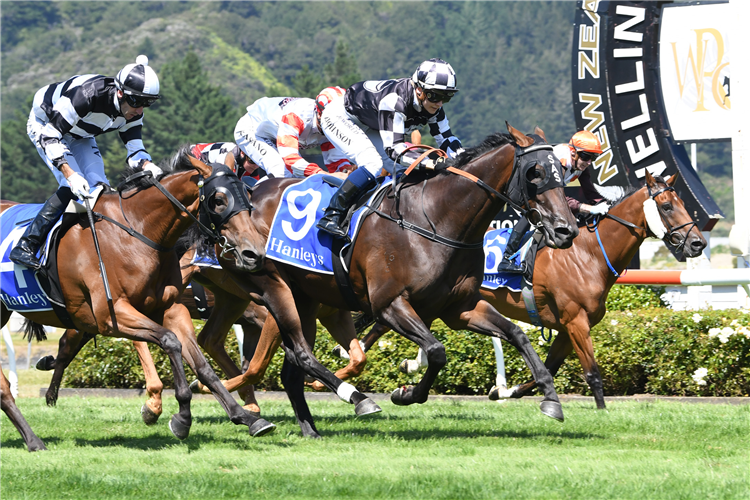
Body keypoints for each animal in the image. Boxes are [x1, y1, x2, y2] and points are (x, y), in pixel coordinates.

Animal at [0, 147, 276, 450]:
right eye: (218, 200)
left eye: (247, 197)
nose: (254, 254)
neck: (140, 232)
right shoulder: (112, 315)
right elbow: (170, 341)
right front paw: (181, 416)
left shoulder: (171, 308)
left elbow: (202, 365)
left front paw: (246, 417)